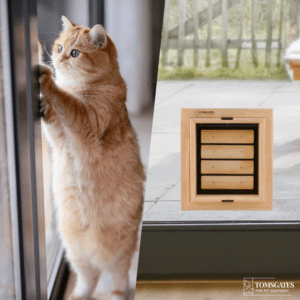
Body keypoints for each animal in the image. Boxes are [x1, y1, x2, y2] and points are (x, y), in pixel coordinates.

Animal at [38, 16, 145, 300]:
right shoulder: (59, 139)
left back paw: (117, 294)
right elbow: (54, 122)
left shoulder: (85, 122)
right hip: (75, 253)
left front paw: (48, 82)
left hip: (118, 255)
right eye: (59, 47)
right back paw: (79, 295)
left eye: (75, 53)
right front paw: (45, 106)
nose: (58, 59)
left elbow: (67, 102)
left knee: (118, 278)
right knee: (89, 278)